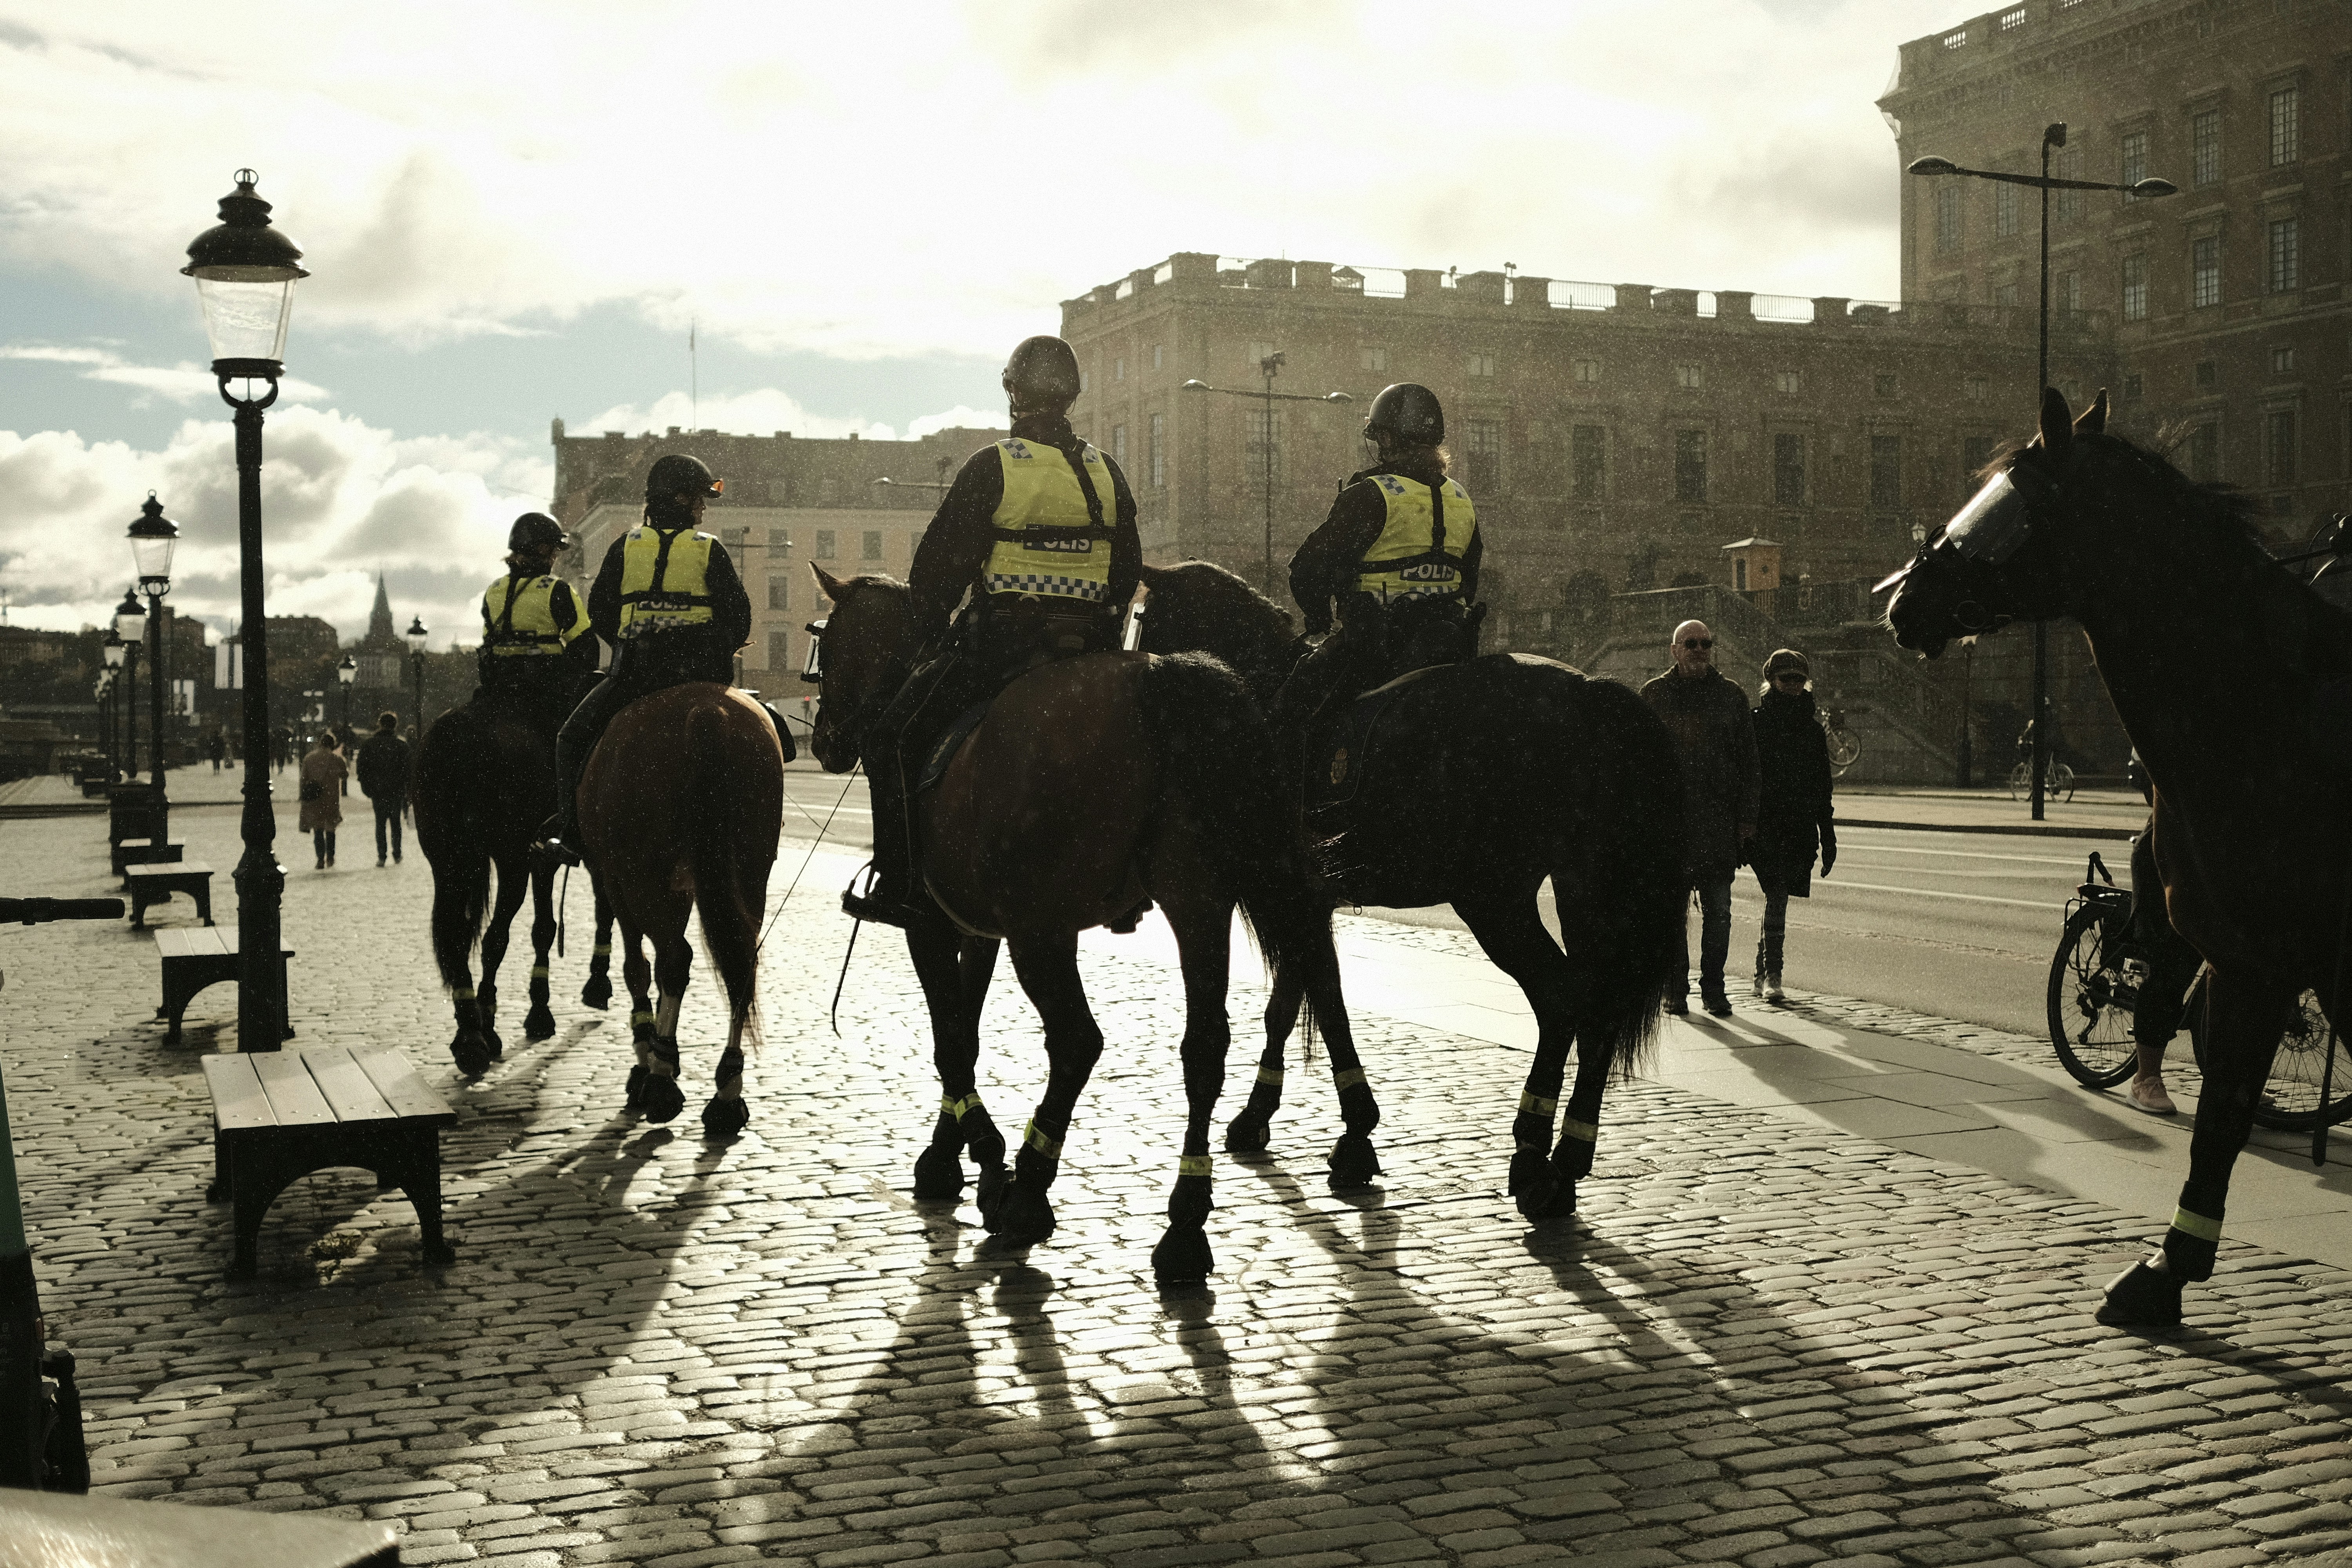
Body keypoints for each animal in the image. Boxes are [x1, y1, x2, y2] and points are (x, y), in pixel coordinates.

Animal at [412, 674, 594, 1077]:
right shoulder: (539, 856)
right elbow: (543, 929)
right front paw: (539, 1013)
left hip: (447, 860)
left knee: (456, 934)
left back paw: (469, 1033)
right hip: (512, 859)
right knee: (495, 938)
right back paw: (481, 1030)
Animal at [574, 680, 783, 1138]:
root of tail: (708, 712)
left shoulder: (618, 884)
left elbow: (636, 969)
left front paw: (645, 1057)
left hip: (644, 878)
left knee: (673, 960)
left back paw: (661, 1078)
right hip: (750, 870)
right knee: (742, 962)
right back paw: (727, 1092)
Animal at [808, 566, 1353, 1288]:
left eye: (827, 643)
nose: (823, 741)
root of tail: (1156, 682)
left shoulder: (933, 926)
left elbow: (951, 1042)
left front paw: (980, 1159)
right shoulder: (981, 928)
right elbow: (968, 1031)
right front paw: (951, 1151)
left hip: (1043, 932)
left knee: (1077, 1042)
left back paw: (1030, 1191)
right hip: (1195, 899)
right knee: (1205, 1044)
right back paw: (1185, 1225)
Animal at [1133, 560, 1689, 1220]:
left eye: (1143, 618)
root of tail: (1588, 693)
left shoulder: (1292, 893)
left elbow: (1325, 1000)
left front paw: (1354, 1132)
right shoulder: (1309, 900)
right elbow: (1292, 1002)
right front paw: (1262, 1115)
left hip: (1492, 896)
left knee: (1560, 998)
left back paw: (1535, 1153)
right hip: (1582, 885)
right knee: (1596, 1006)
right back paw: (1565, 1161)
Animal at [1884, 386, 2352, 1327]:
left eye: (2003, 504)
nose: (1903, 598)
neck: (2272, 709)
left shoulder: (2294, 965)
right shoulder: (2252, 962)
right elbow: (2221, 1120)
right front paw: (2165, 1272)